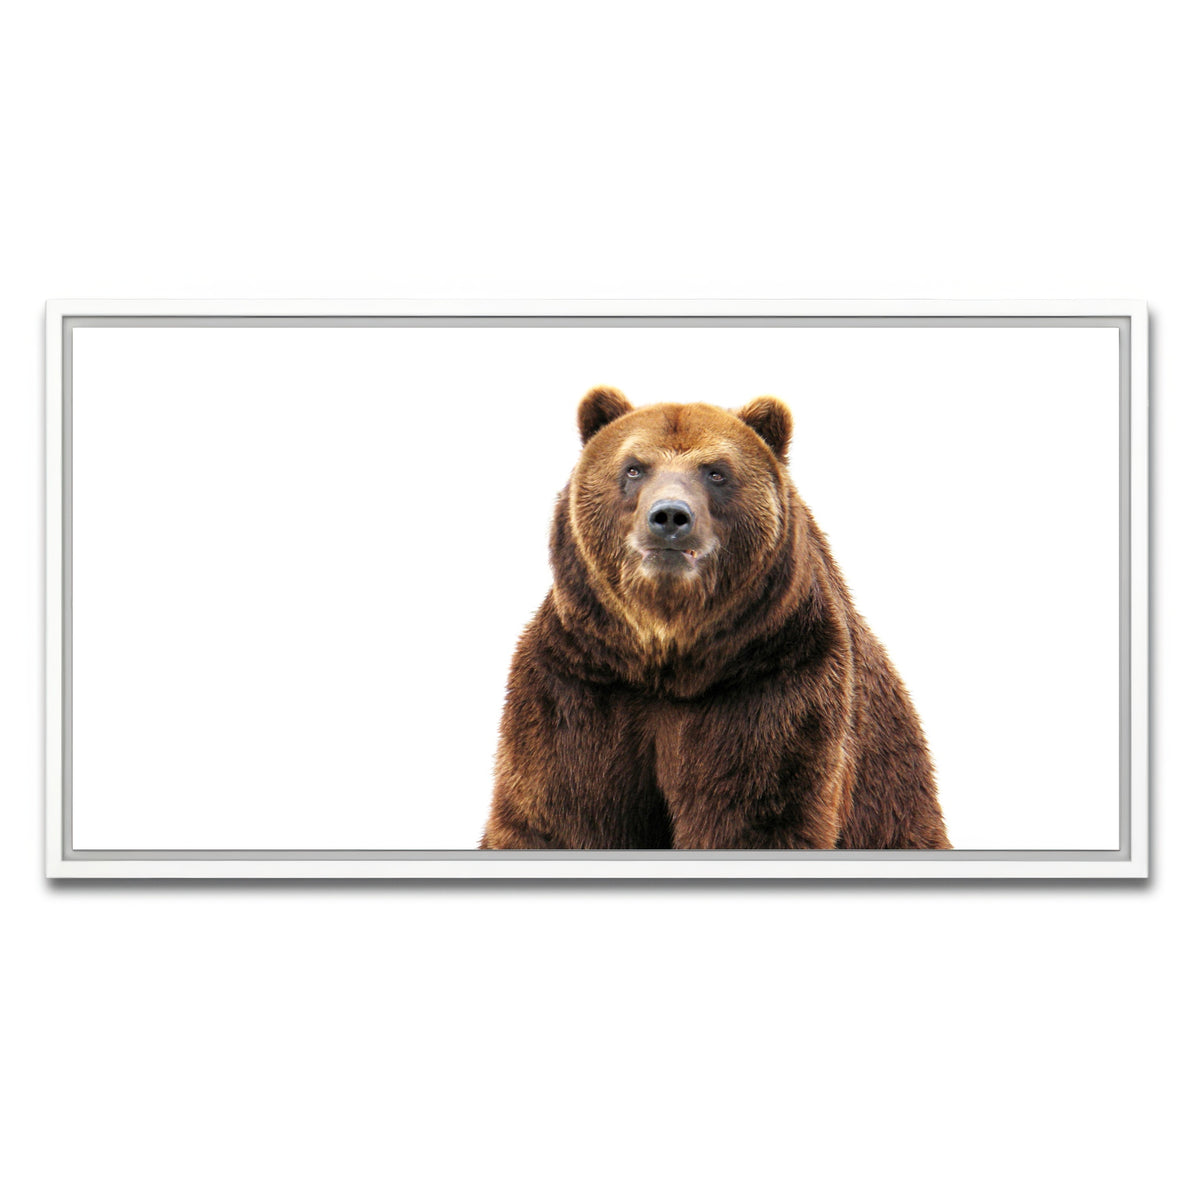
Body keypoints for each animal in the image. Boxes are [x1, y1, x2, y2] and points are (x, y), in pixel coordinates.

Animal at [479, 387, 951, 851]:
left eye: (716, 472)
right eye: (634, 468)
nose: (670, 516)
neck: (668, 658)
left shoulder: (773, 679)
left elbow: (757, 812)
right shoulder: (581, 679)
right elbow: (558, 813)